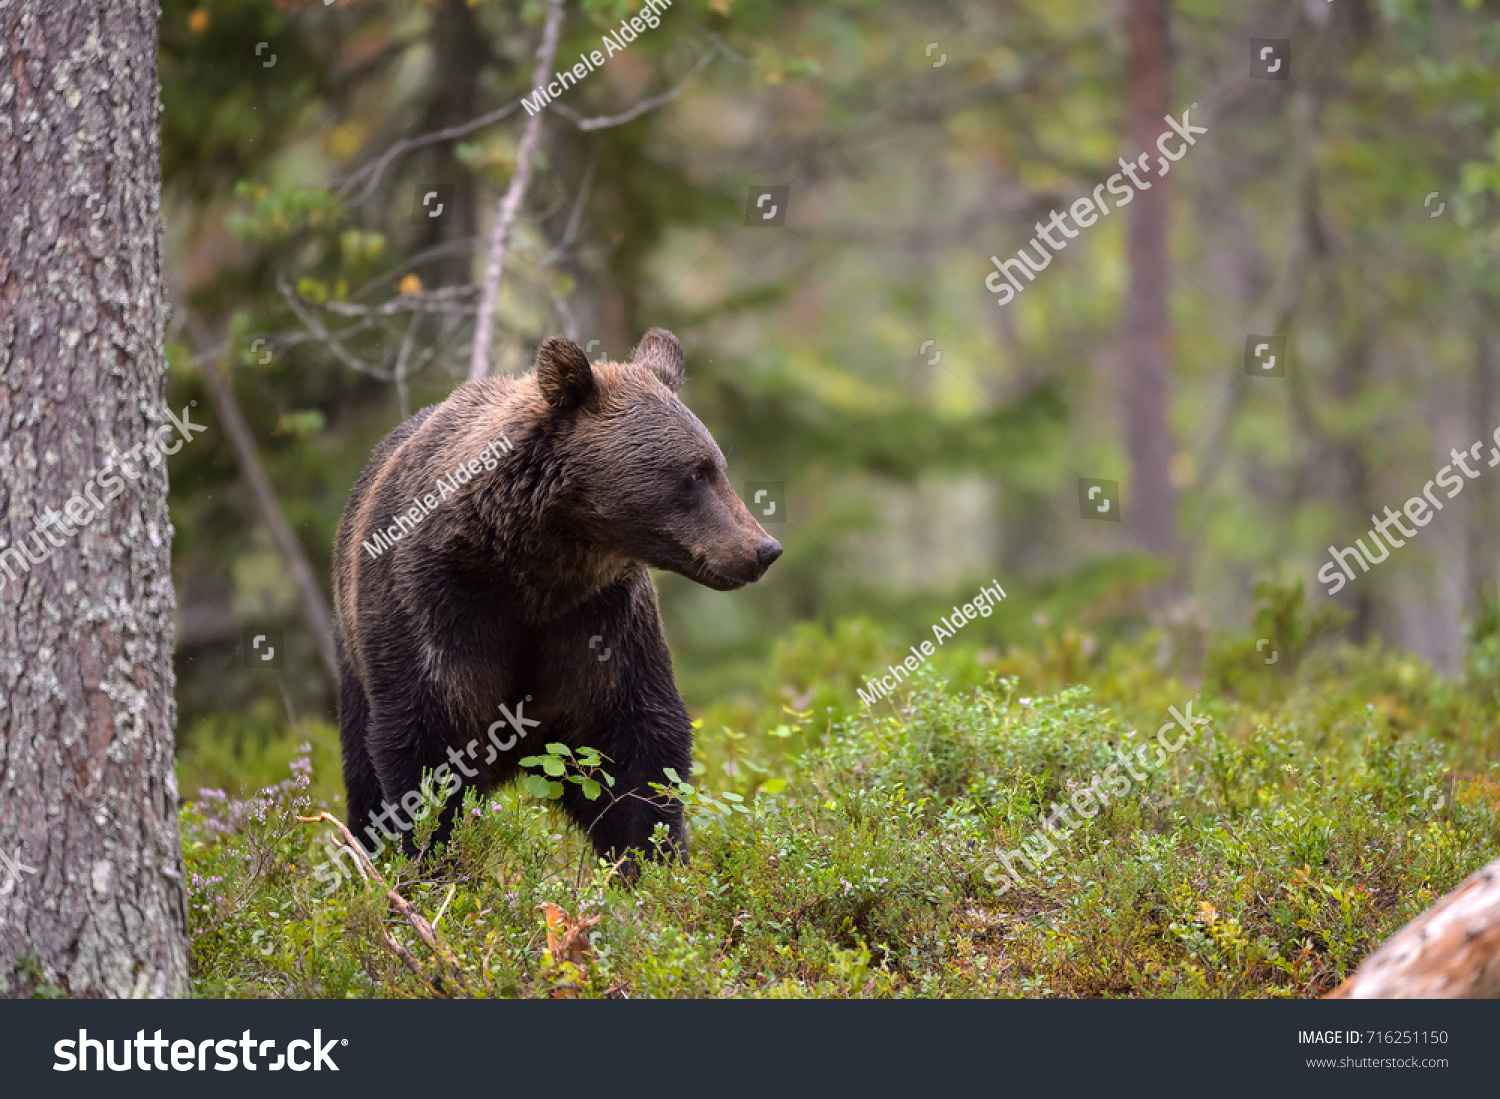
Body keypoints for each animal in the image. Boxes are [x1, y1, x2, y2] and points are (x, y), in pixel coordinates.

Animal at [333, 329, 780, 881]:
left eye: (718, 466)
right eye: (695, 473)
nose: (762, 548)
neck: (534, 565)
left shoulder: (600, 617)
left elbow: (639, 745)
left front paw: (651, 862)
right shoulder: (436, 605)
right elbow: (425, 745)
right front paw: (433, 862)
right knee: (362, 773)